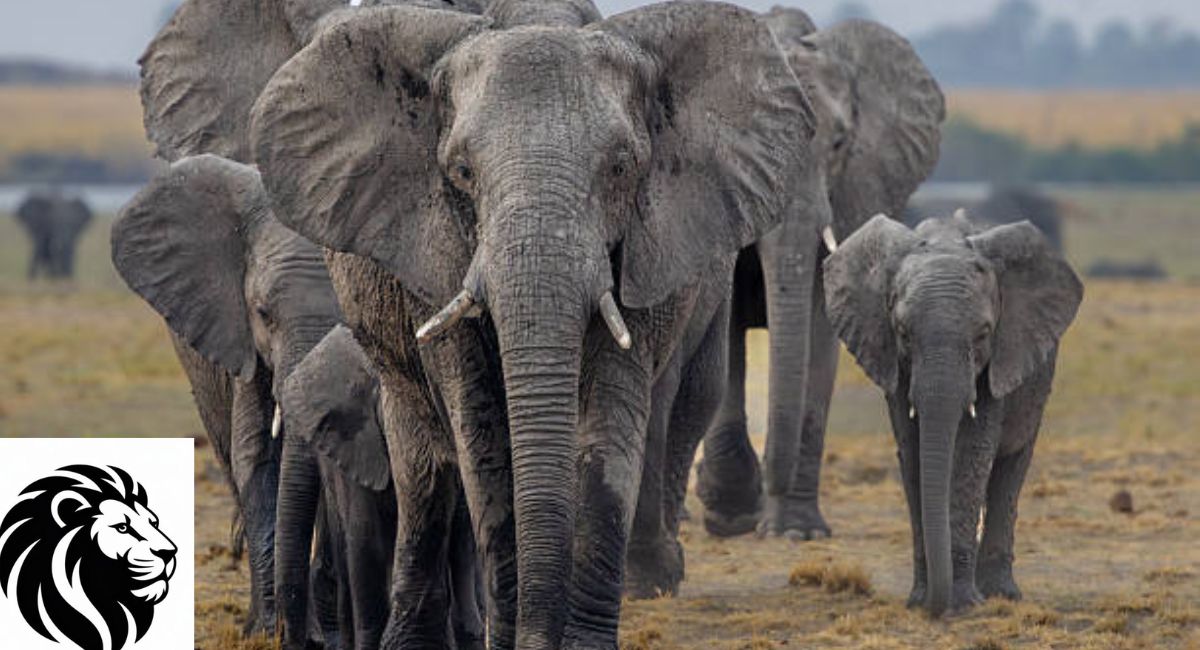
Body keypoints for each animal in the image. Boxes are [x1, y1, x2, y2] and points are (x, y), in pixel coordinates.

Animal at [240, 1, 815, 646]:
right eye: (461, 171)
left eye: (622, 168)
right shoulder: (436, 260)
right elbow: (482, 428)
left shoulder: (648, 245)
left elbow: (610, 418)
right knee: (422, 460)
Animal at [696, 10, 946, 540]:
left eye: (838, 143)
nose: (769, 484)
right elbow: (722, 331)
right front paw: (729, 511)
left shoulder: (851, 193)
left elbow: (820, 331)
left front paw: (795, 532)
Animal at [823, 212, 1083, 615]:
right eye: (902, 333)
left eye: (983, 334)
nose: (934, 604)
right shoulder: (892, 362)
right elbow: (913, 452)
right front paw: (919, 600)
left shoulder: (998, 360)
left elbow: (972, 453)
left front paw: (962, 605)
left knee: (1011, 467)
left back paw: (1000, 594)